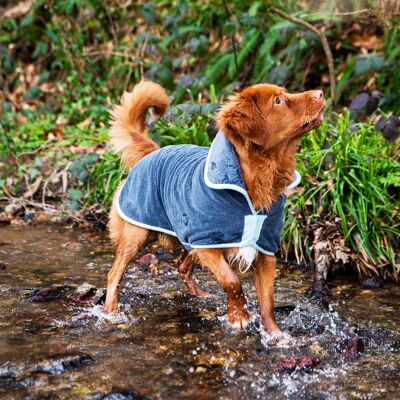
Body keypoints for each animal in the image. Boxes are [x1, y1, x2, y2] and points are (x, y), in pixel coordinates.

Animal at [104, 81, 324, 340]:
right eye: (278, 101)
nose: (320, 93)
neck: (257, 178)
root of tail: (152, 152)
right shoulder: (207, 243)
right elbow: (232, 280)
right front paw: (239, 316)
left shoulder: (265, 249)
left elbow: (267, 301)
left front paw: (275, 335)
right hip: (137, 233)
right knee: (114, 273)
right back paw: (110, 311)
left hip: (187, 237)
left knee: (182, 266)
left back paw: (200, 296)